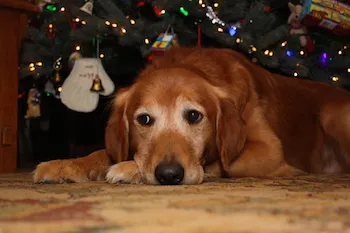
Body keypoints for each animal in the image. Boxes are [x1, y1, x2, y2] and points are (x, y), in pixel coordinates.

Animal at [33, 47, 350, 186]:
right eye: (144, 120)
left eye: (195, 116)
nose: (169, 174)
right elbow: (103, 152)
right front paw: (66, 165)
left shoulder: (269, 151)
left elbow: (217, 163)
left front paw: (128, 169)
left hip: (332, 115)